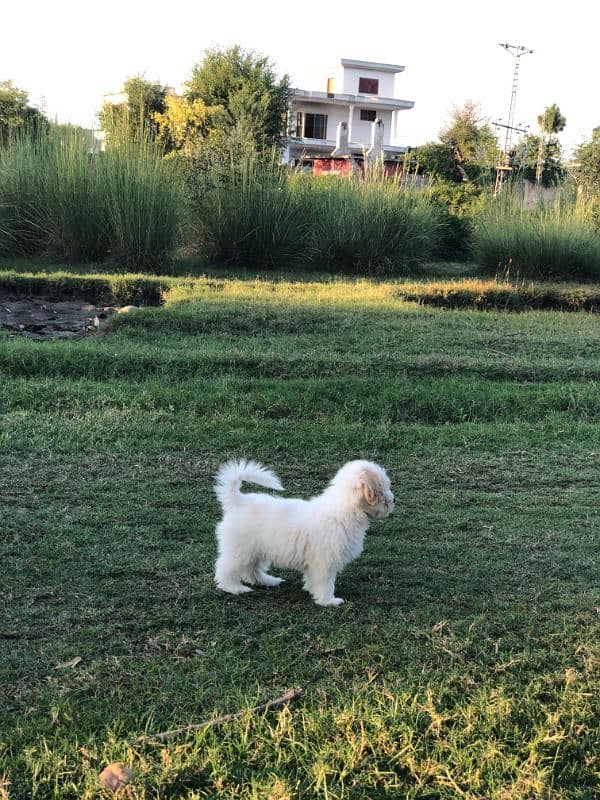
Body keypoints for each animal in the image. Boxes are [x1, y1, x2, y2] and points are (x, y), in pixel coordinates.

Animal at [214, 456, 394, 608]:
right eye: (382, 489)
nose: (394, 500)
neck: (343, 510)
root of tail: (238, 501)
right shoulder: (325, 561)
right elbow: (326, 583)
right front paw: (328, 600)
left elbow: (313, 579)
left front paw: (311, 590)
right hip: (239, 549)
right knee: (226, 568)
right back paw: (234, 588)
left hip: (255, 549)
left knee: (251, 570)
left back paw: (268, 580)